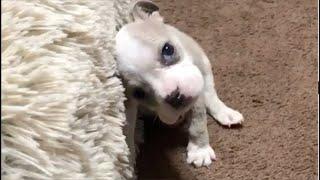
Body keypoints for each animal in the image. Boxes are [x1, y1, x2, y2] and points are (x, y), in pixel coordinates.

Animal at [116, 0, 244, 169]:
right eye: (139, 93)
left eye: (168, 49)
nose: (175, 96)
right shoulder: (129, 106)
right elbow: (127, 129)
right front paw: (127, 160)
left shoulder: (196, 90)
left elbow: (198, 120)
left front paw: (200, 149)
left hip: (202, 61)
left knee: (210, 92)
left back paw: (225, 112)